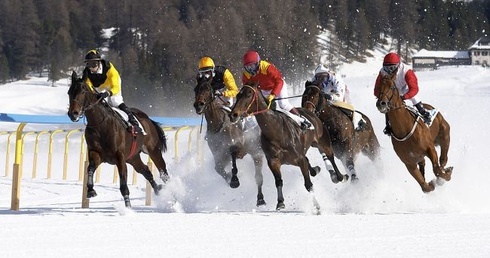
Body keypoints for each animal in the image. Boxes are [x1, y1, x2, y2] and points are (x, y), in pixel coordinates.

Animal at [67, 71, 168, 208]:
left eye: (83, 92)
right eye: (69, 92)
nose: (73, 114)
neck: (101, 124)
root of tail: (148, 119)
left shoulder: (120, 157)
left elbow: (123, 184)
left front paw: (128, 207)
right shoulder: (96, 153)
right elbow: (90, 169)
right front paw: (90, 190)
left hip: (153, 150)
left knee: (163, 172)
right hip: (133, 157)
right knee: (146, 171)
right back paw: (158, 190)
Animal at [193, 74, 266, 206]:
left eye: (208, 89)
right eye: (195, 89)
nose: (198, 105)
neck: (217, 124)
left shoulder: (239, 148)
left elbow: (233, 151)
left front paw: (234, 180)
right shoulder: (219, 154)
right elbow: (218, 168)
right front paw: (230, 179)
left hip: (255, 150)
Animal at [228, 82, 346, 212]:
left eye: (248, 94)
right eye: (238, 95)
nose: (233, 115)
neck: (277, 132)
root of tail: (311, 112)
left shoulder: (299, 159)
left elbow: (308, 184)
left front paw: (316, 206)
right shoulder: (273, 161)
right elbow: (278, 181)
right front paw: (280, 202)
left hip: (322, 141)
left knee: (330, 156)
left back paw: (340, 176)